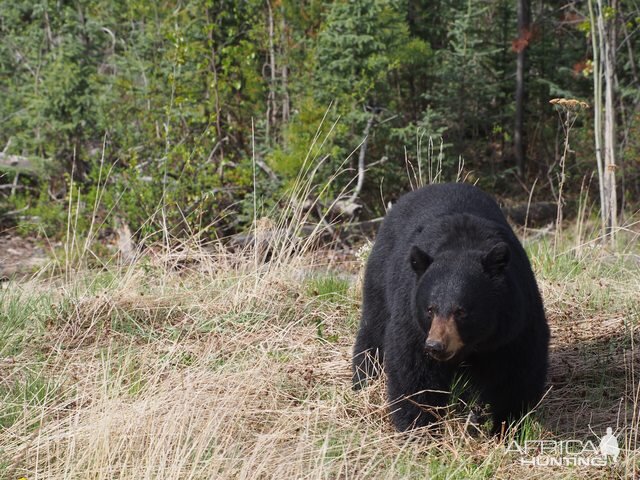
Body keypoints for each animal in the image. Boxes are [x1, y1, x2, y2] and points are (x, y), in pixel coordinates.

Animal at [352, 182, 548, 434]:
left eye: (461, 311)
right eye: (430, 309)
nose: (435, 346)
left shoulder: (515, 322)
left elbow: (518, 374)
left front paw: (507, 425)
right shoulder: (412, 320)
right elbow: (414, 373)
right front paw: (418, 428)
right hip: (381, 275)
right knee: (373, 330)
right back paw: (362, 381)